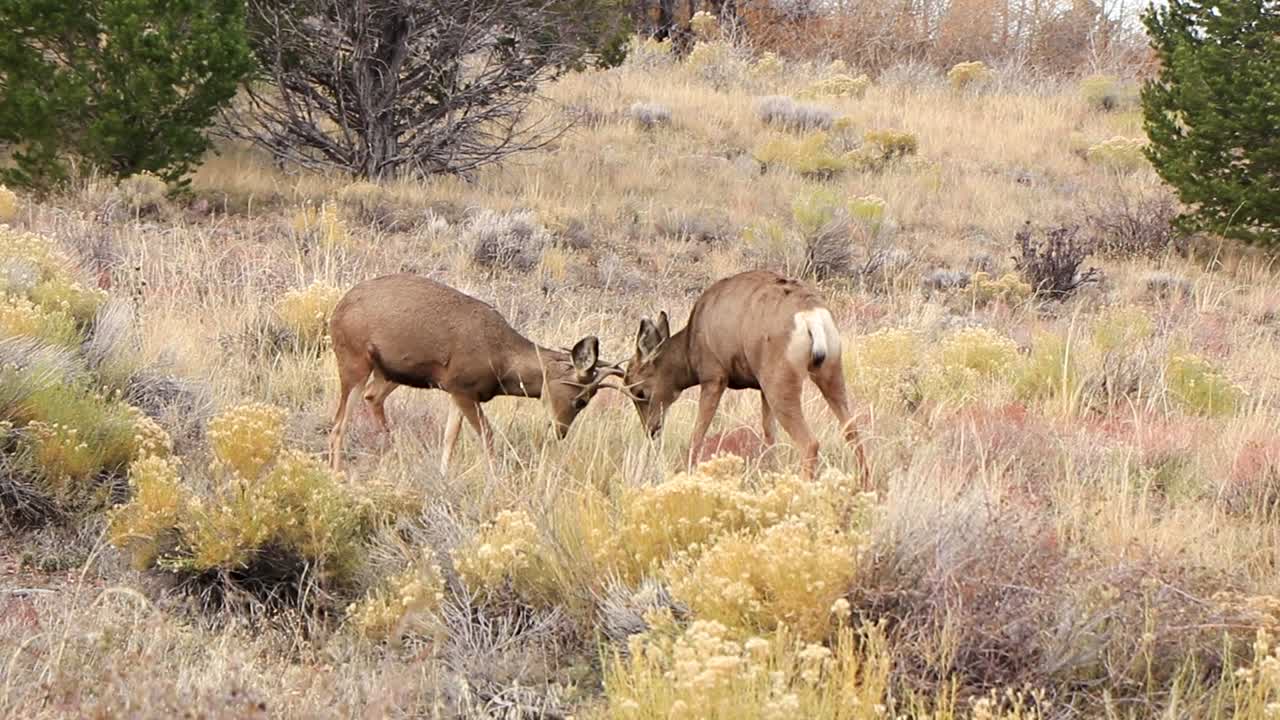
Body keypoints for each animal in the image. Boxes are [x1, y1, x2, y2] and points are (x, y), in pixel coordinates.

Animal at [326, 273, 622, 473]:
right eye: (580, 400)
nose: (559, 432)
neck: (503, 361)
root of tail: (337, 311)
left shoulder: (457, 392)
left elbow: (450, 438)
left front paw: (443, 475)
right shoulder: (463, 388)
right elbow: (487, 436)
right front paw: (495, 479)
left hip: (389, 372)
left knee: (372, 397)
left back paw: (393, 452)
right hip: (354, 362)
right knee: (339, 423)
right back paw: (337, 471)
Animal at [618, 270, 871, 486]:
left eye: (640, 391)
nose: (652, 430)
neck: (691, 343)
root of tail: (811, 316)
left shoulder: (714, 377)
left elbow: (697, 434)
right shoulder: (761, 390)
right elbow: (770, 436)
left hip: (781, 384)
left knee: (810, 443)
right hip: (829, 374)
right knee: (852, 430)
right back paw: (864, 485)